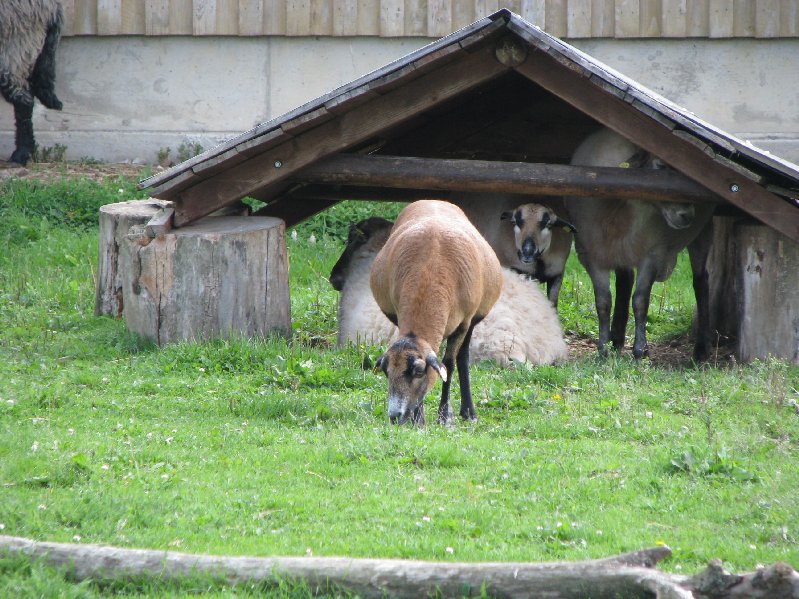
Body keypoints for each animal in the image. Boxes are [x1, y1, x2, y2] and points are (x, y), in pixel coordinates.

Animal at [368, 202, 500, 426]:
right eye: (386, 372)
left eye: (419, 371)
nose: (395, 416)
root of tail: (433, 200)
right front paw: (419, 419)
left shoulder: (463, 324)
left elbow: (449, 365)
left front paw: (445, 415)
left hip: (472, 321)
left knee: (462, 358)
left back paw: (469, 412)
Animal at [564, 127, 716, 360]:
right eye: (660, 166)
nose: (687, 215)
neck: (617, 211)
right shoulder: (591, 256)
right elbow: (603, 301)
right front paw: (602, 349)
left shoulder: (652, 254)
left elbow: (641, 301)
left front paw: (639, 350)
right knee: (625, 281)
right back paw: (616, 339)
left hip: (703, 232)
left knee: (701, 282)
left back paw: (701, 349)